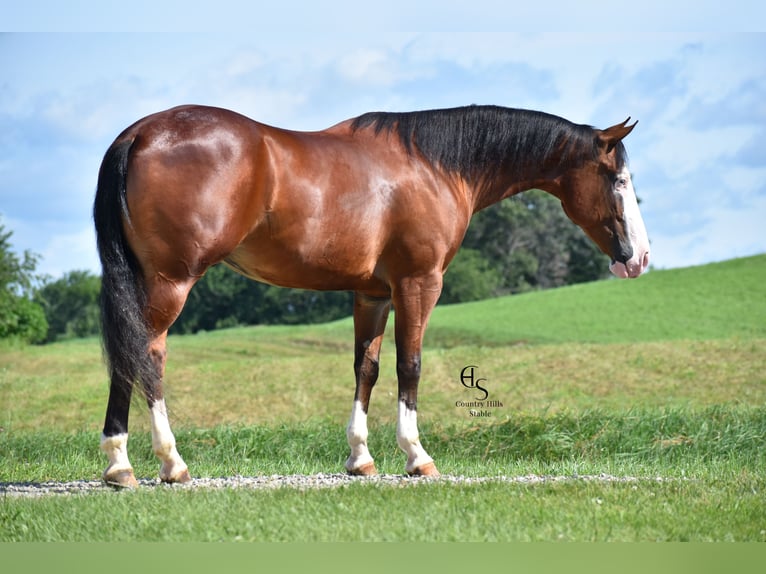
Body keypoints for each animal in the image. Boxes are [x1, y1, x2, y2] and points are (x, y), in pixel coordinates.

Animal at [93, 104, 650, 487]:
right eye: (618, 179)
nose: (638, 259)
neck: (434, 166)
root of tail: (139, 133)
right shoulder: (419, 284)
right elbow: (411, 366)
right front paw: (417, 456)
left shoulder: (372, 294)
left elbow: (367, 368)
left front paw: (361, 459)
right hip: (171, 281)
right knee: (147, 355)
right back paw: (164, 462)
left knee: (127, 356)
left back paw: (120, 465)